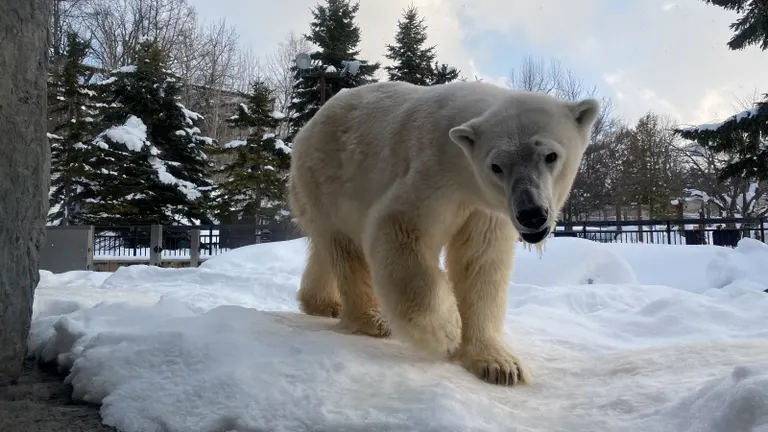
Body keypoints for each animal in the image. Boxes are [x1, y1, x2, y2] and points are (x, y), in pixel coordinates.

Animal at [288, 79, 600, 386]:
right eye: (496, 166)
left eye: (550, 155)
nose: (531, 213)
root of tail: (307, 130)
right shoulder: (435, 174)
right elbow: (399, 229)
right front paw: (448, 331)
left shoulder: (484, 208)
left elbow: (480, 261)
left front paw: (499, 365)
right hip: (327, 179)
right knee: (345, 248)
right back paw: (373, 319)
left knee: (326, 249)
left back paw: (323, 303)